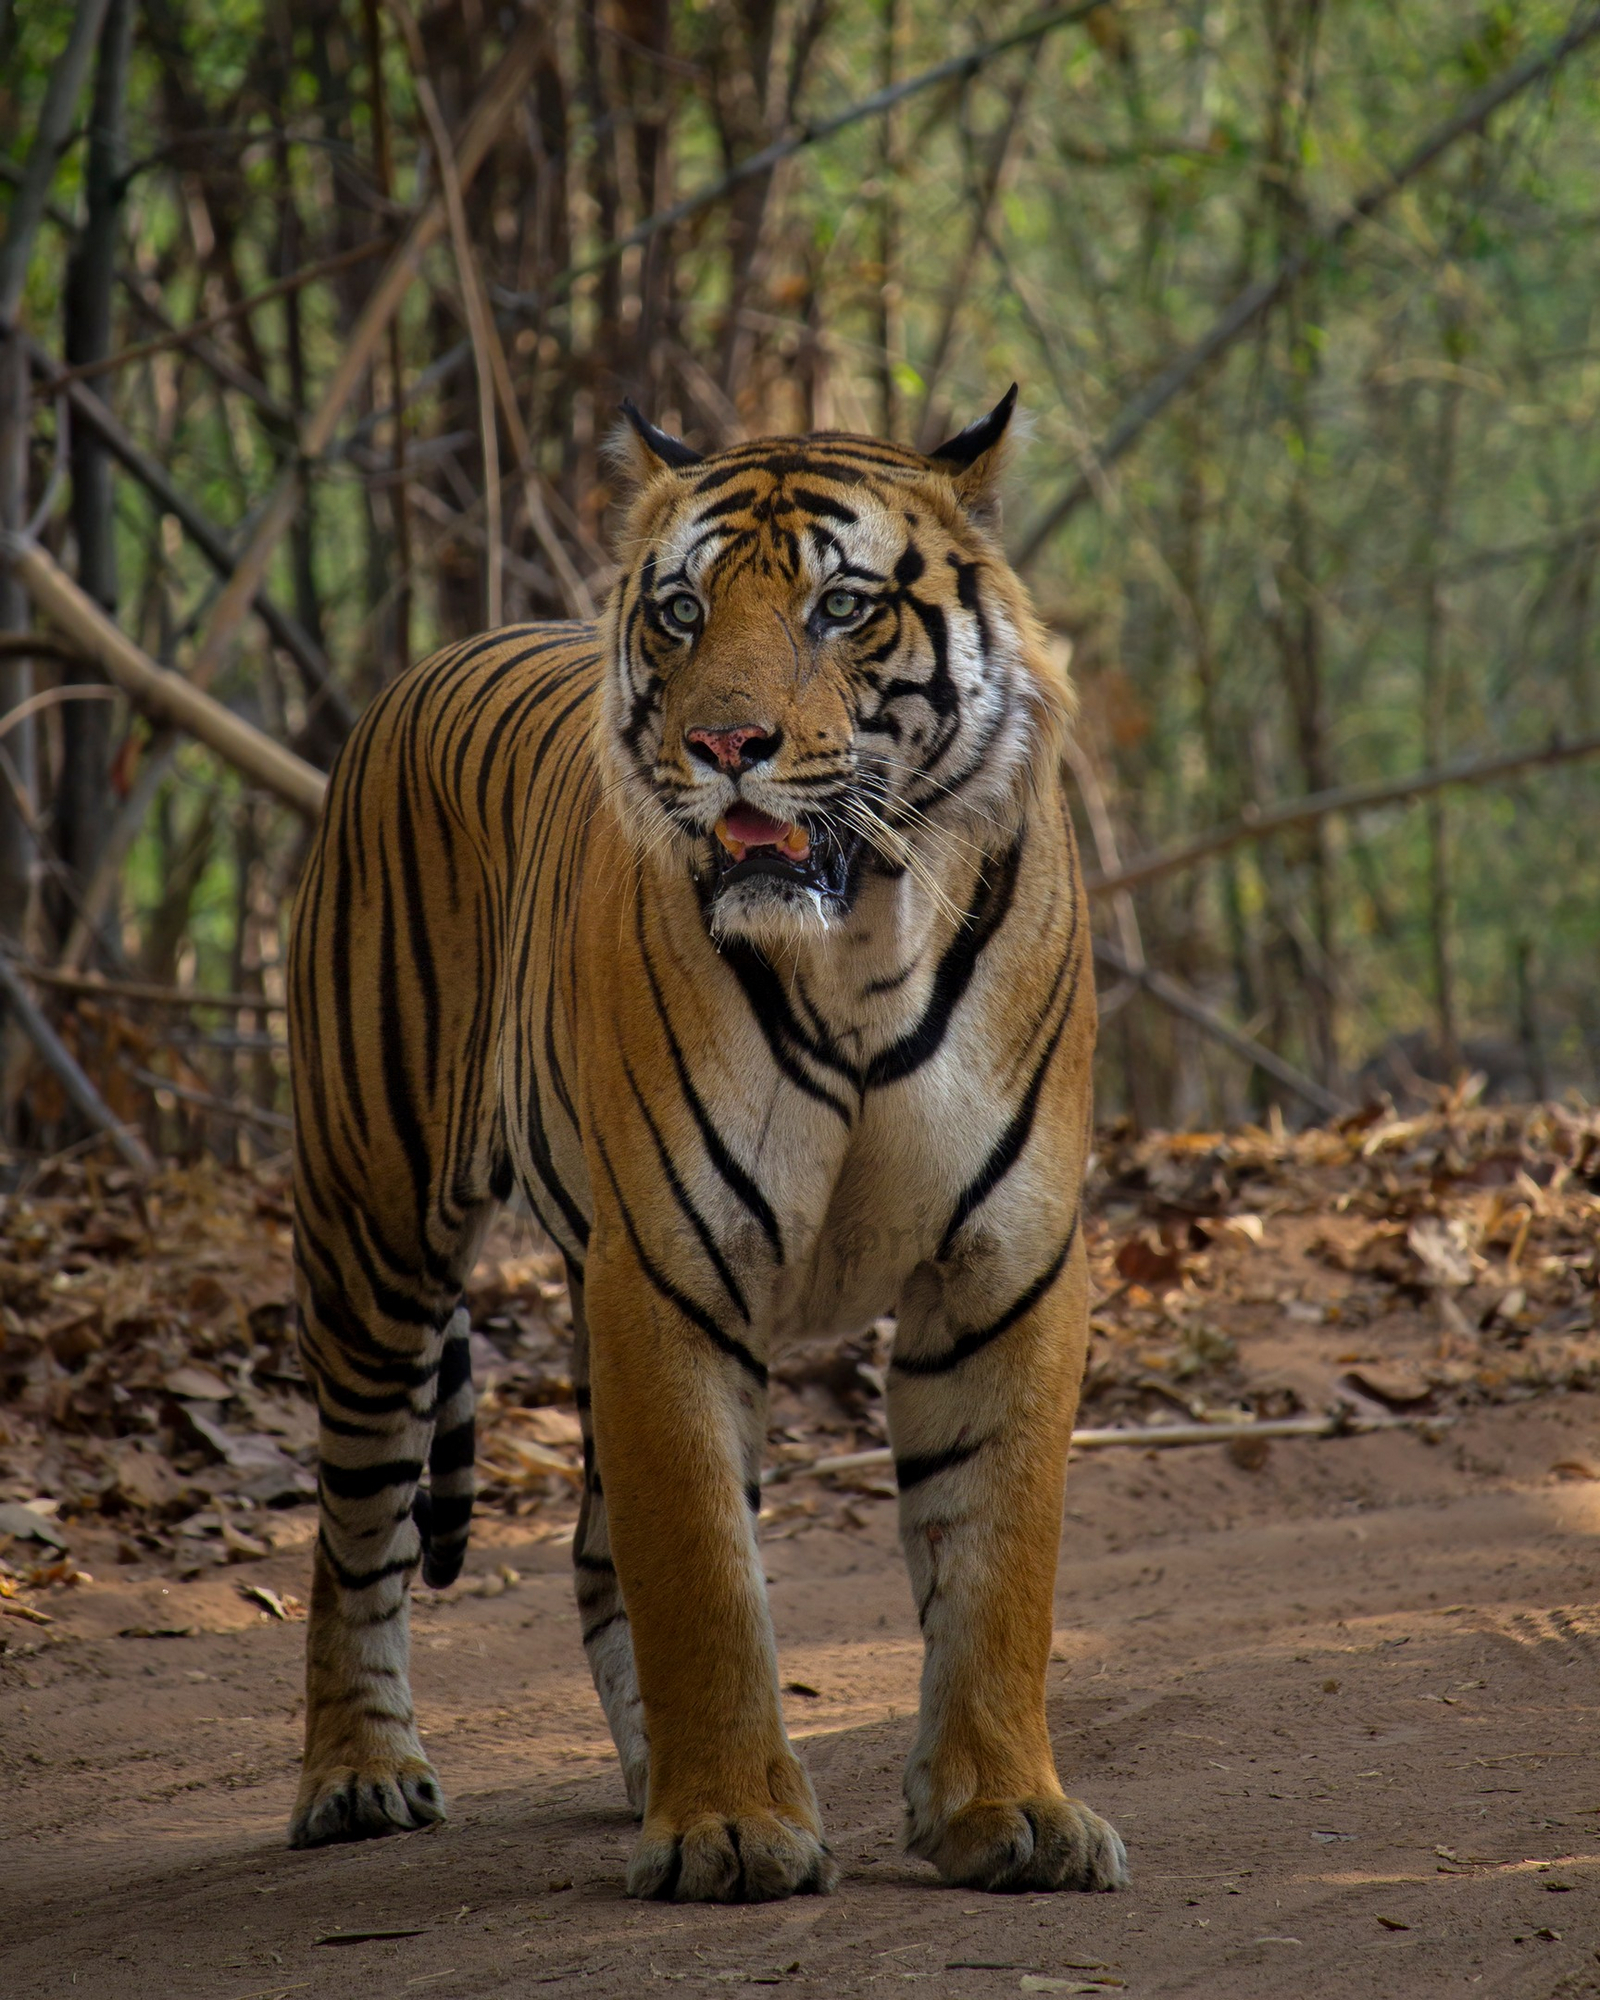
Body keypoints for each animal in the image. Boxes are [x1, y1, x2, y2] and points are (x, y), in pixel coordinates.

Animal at [285, 386, 1127, 1903]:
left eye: (841, 606)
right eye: (681, 612)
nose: (725, 744)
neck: (862, 948)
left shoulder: (1004, 1265)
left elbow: (996, 1562)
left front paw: (1008, 1812)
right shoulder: (671, 1268)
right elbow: (702, 1571)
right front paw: (732, 1826)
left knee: (583, 1544)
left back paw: (636, 1775)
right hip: (376, 1238)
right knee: (355, 1527)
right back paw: (359, 1773)